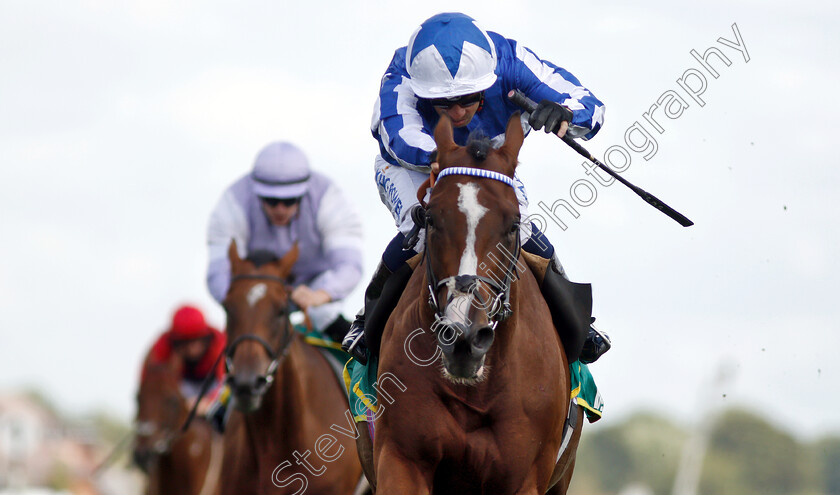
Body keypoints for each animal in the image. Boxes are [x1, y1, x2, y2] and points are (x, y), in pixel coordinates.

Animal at [364, 113, 588, 495]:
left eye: (513, 224)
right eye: (431, 219)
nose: (464, 337)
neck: (476, 391)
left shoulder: (524, 478)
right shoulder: (401, 460)